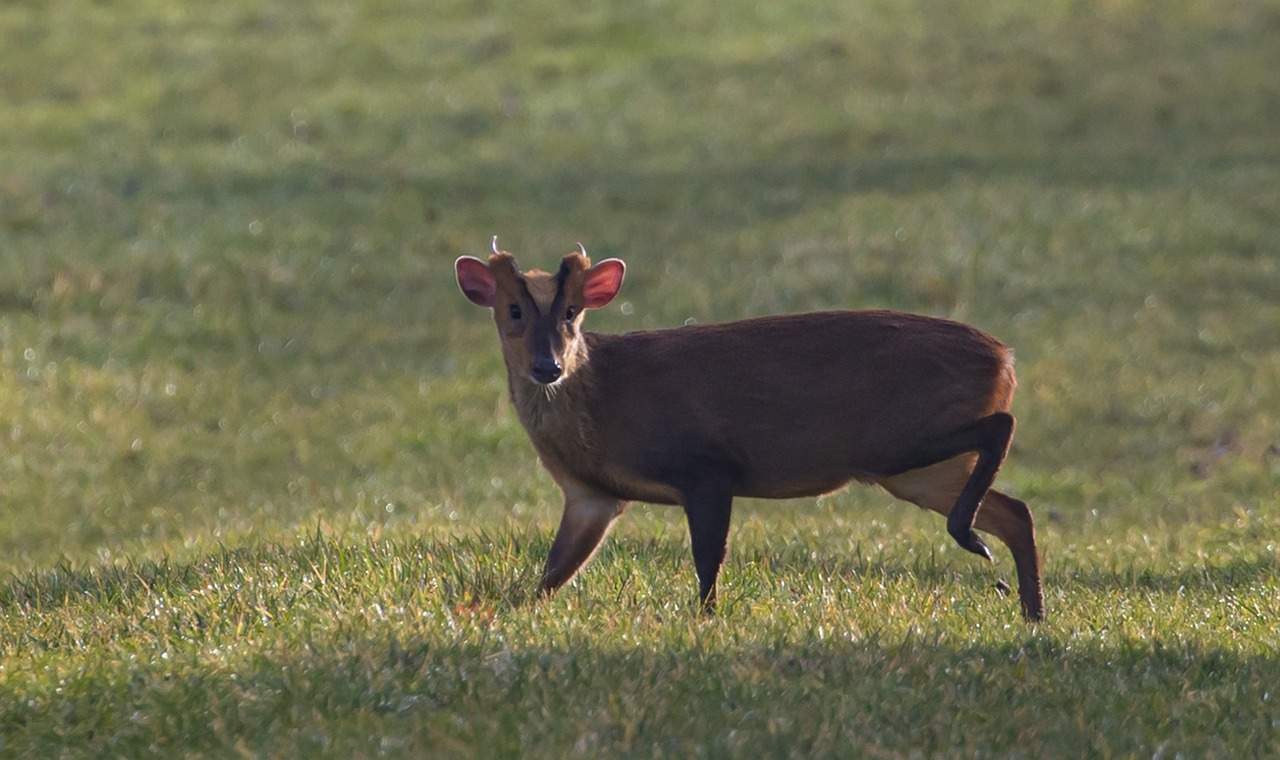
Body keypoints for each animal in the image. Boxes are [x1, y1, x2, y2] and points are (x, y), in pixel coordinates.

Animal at [455, 239, 1044, 619]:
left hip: (894, 440)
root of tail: (1006, 360)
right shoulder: (591, 496)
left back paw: (974, 542)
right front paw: (509, 610)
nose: (548, 366)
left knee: (1003, 427)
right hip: (918, 471)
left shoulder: (706, 466)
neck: (600, 403)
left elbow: (708, 558)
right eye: (513, 311)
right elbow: (553, 572)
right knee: (1016, 511)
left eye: (572, 313)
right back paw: (1031, 611)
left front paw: (707, 619)